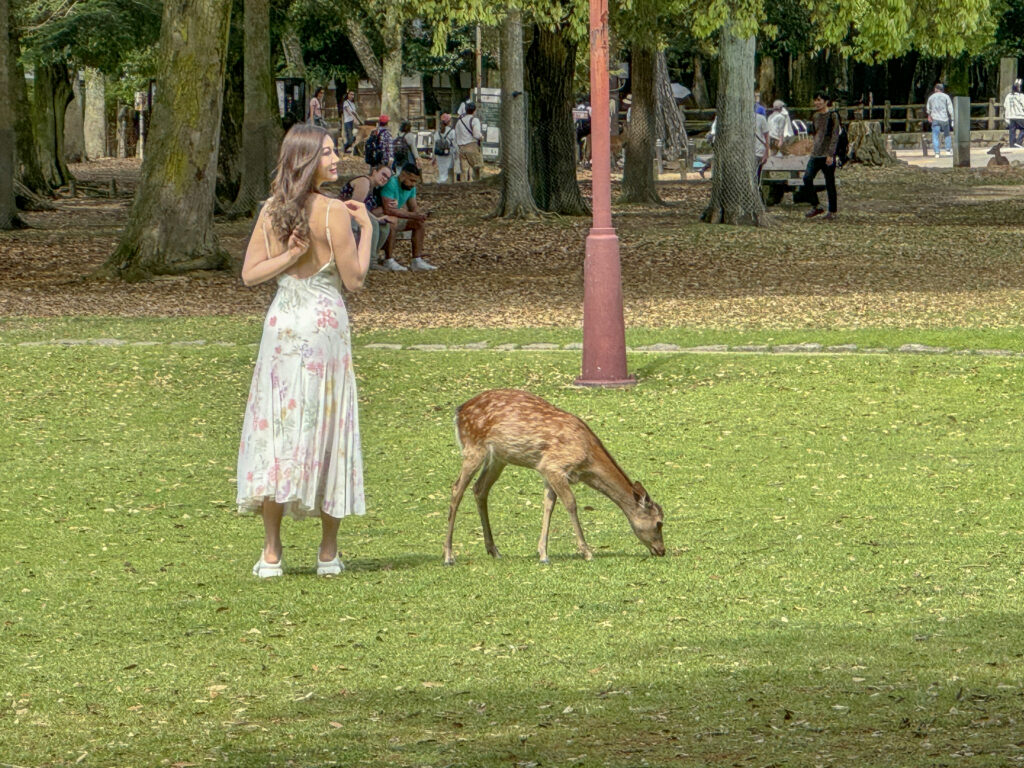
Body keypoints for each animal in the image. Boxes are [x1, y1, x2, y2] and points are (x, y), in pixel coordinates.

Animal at [444, 391, 667, 565]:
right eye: (659, 523)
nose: (662, 550)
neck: (587, 458)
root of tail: (459, 412)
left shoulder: (546, 471)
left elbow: (548, 506)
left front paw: (543, 554)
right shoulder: (554, 466)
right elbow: (570, 503)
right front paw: (587, 552)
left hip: (498, 457)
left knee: (479, 488)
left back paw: (494, 551)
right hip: (474, 448)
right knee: (456, 489)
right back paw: (449, 556)